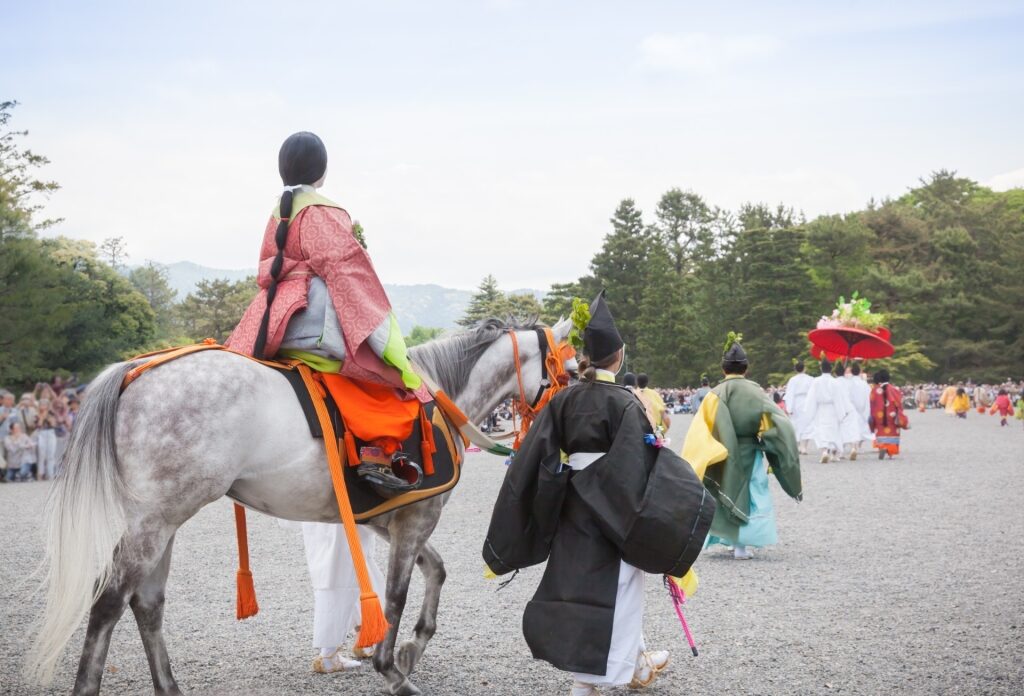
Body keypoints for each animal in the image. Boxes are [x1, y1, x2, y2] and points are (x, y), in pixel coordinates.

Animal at [29, 317, 577, 691]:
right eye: (570, 369)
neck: (439, 403)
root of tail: (135, 370)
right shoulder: (415, 518)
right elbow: (398, 594)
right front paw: (392, 669)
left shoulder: (388, 520)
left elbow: (436, 572)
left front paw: (409, 649)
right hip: (154, 520)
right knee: (108, 603)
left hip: (161, 521)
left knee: (146, 603)